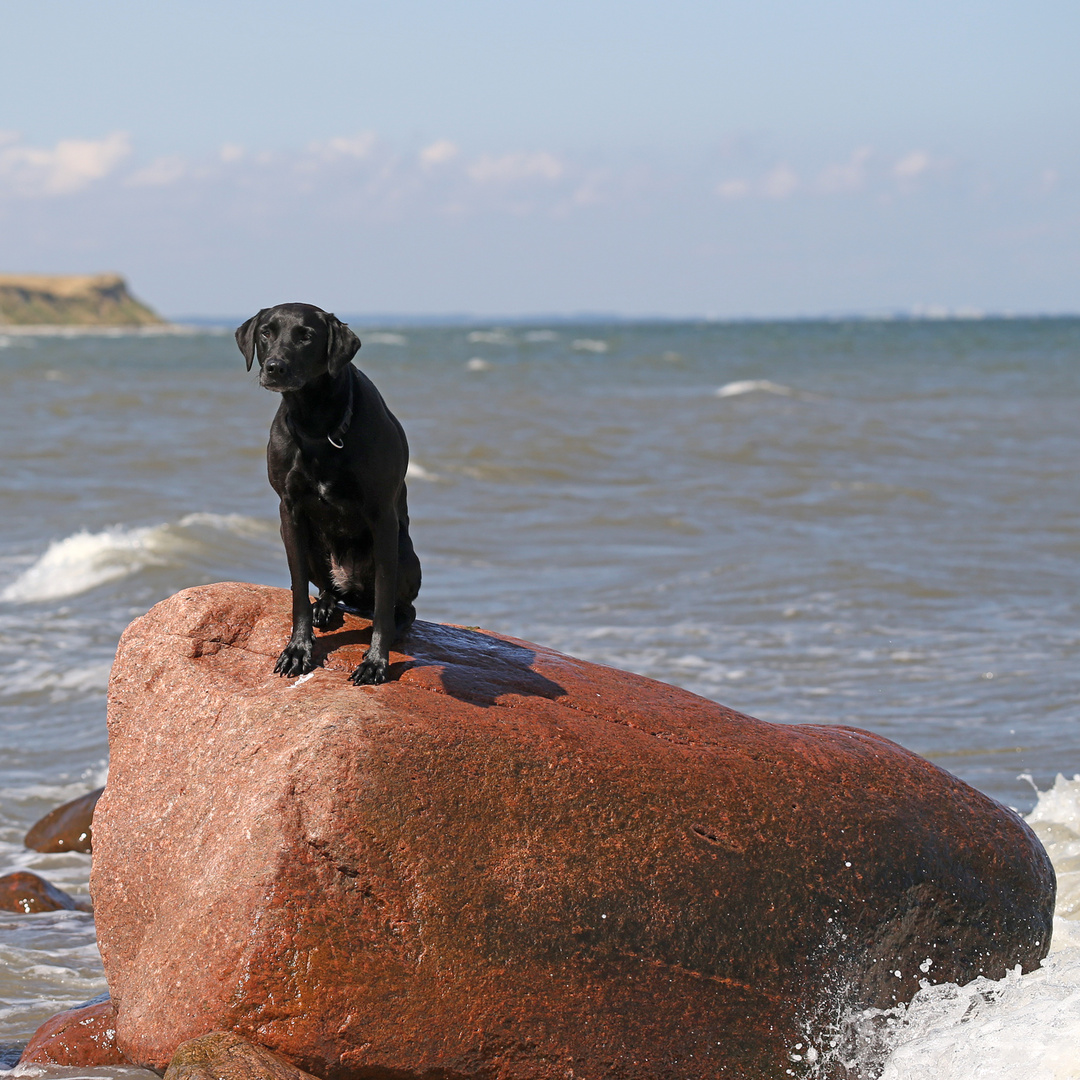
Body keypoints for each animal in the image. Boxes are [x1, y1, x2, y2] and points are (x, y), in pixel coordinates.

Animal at [236, 302, 421, 682]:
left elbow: (383, 604)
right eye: (266, 332)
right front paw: (298, 649)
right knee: (326, 588)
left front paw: (376, 661)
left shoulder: (382, 516)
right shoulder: (289, 511)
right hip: (311, 548)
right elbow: (297, 594)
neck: (316, 422)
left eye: (306, 336)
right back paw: (325, 604)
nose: (274, 367)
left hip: (405, 554)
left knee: (401, 608)